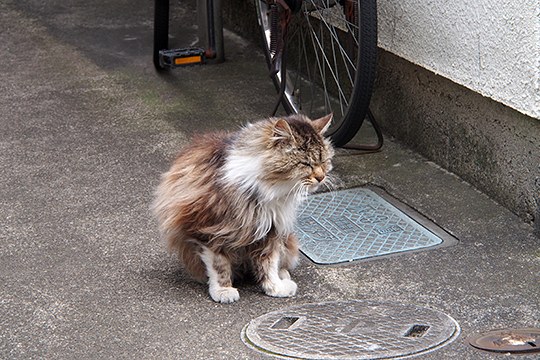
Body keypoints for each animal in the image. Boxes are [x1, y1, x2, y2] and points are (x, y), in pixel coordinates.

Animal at [152, 113, 336, 304]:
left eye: (324, 161)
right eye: (306, 163)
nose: (321, 177)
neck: (266, 190)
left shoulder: (270, 229)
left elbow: (269, 263)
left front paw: (275, 287)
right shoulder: (209, 230)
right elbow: (219, 266)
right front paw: (224, 290)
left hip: (288, 240)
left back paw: (284, 275)